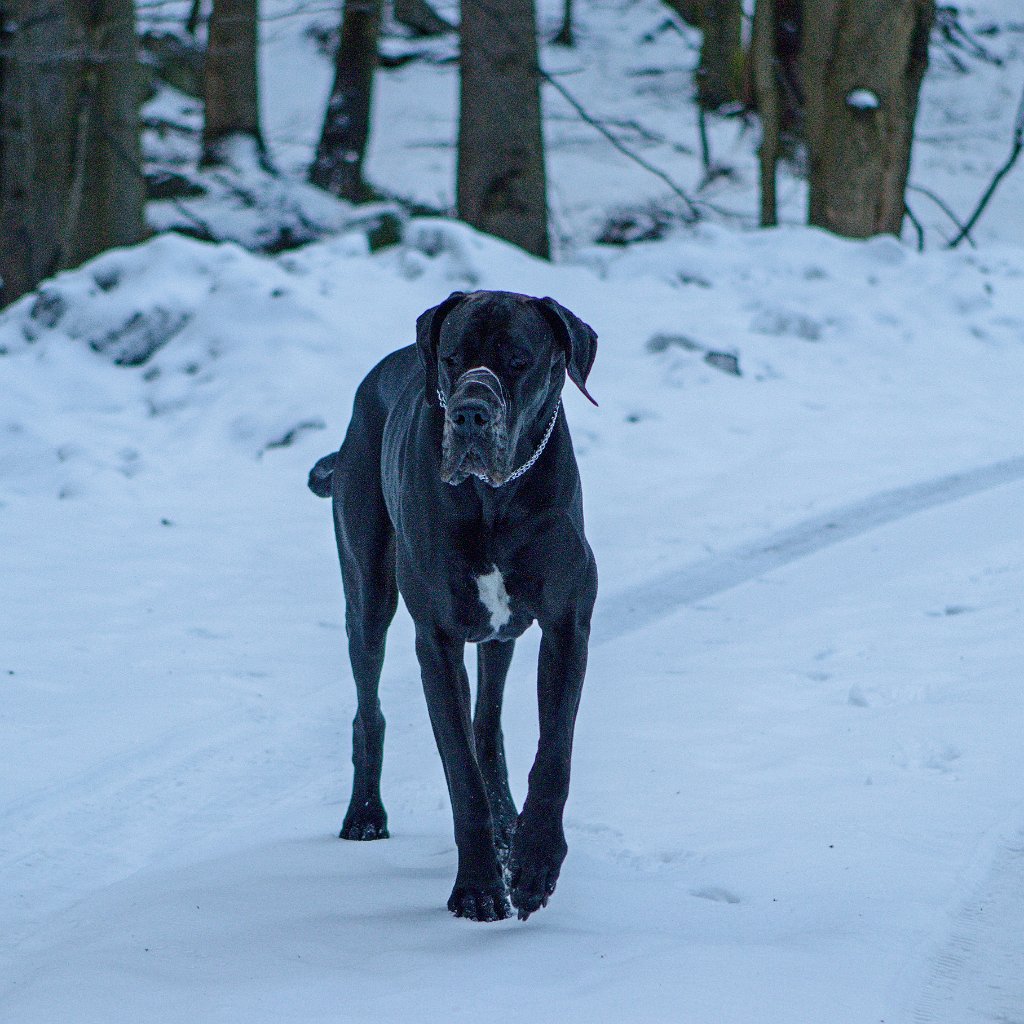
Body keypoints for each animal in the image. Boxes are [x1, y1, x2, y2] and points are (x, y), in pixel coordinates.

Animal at [311, 288, 598, 921]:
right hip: (367, 593)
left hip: (499, 634)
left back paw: (509, 826)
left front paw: (535, 863)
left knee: (486, 725)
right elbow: (460, 774)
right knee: (369, 708)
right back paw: (365, 814)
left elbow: (555, 753)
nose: (470, 412)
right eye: (450, 358)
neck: (495, 500)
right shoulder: (437, 641)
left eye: (518, 359)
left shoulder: (567, 623)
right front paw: (479, 888)